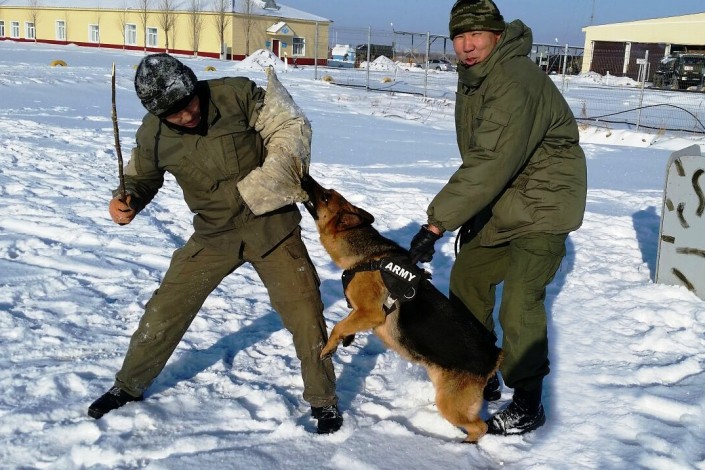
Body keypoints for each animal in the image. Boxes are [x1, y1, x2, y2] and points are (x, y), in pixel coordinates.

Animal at [301, 175, 502, 442]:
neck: (368, 257)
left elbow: (337, 327)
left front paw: (328, 348)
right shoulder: (360, 314)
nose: (304, 176)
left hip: (450, 404)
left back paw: (463, 445)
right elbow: (346, 324)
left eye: (325, 196)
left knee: (480, 427)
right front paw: (347, 339)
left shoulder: (371, 313)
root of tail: (493, 357)